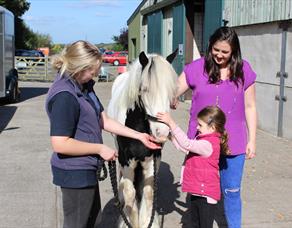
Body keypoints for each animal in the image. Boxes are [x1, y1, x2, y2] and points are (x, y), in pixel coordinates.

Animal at [106, 50, 176, 227]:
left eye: (171, 92)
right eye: (144, 89)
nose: (162, 132)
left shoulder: (152, 160)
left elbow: (149, 192)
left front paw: (148, 221)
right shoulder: (126, 160)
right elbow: (130, 194)